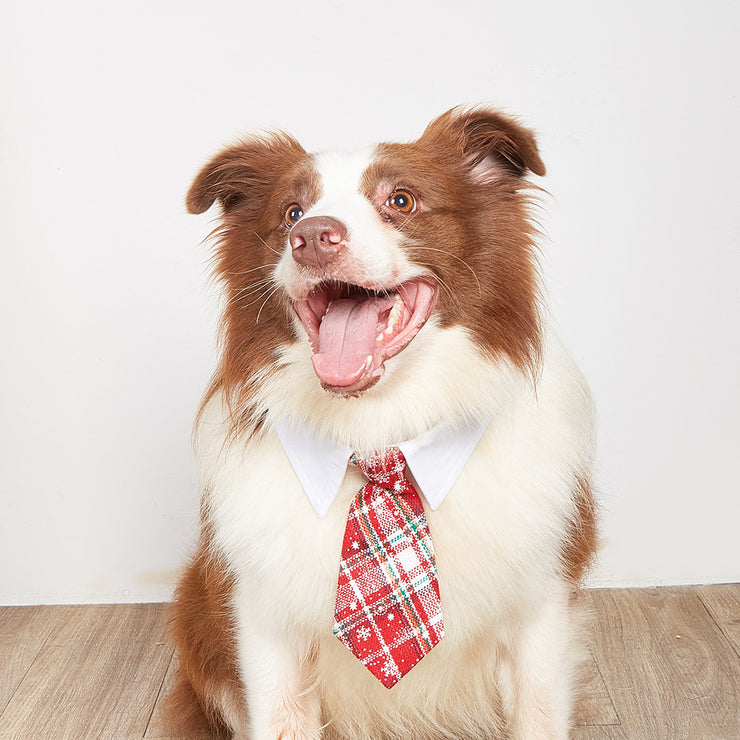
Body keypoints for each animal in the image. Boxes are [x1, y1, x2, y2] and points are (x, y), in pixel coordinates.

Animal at [169, 105, 596, 740]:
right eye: (290, 212)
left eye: (401, 200)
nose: (311, 238)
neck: (377, 430)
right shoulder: (264, 624)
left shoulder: (540, 610)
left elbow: (537, 712)